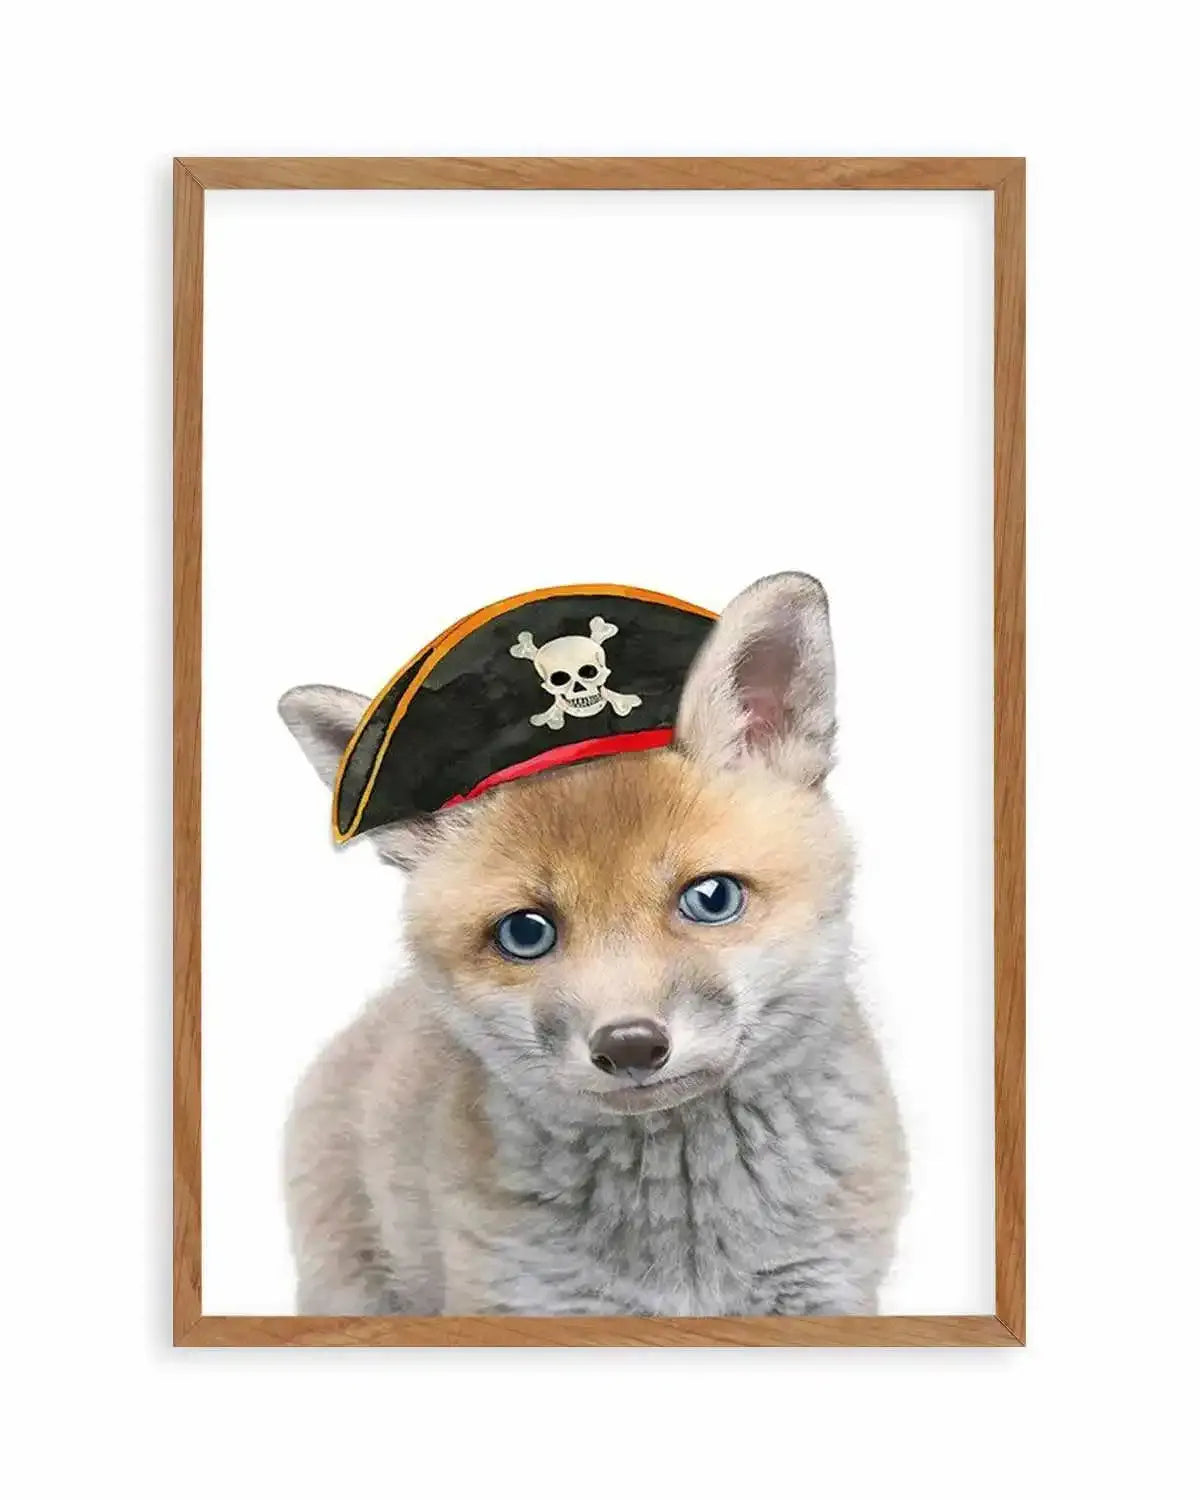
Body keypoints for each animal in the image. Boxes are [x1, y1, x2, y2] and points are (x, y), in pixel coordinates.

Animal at [278, 572, 906, 1316]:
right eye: (526, 932)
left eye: (712, 898)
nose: (629, 1045)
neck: (686, 1249)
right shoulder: (526, 1300)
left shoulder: (825, 1291)